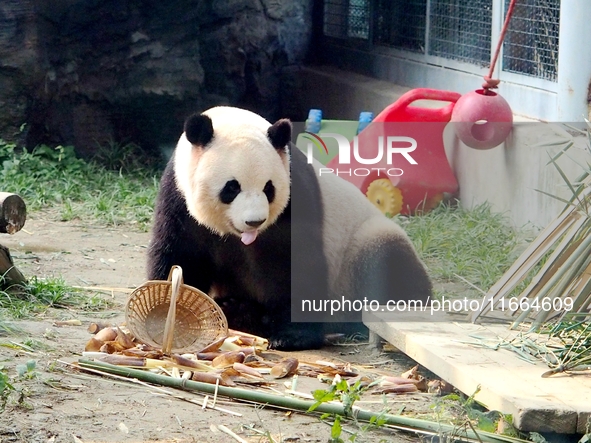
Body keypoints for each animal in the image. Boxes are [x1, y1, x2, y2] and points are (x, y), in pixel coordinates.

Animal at [147, 106, 434, 350]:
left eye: (269, 188)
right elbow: (182, 256)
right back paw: (237, 308)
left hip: (363, 248)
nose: (254, 221)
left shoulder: (296, 196)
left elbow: (296, 265)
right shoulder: (178, 196)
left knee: (388, 265)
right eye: (232, 187)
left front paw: (291, 337)